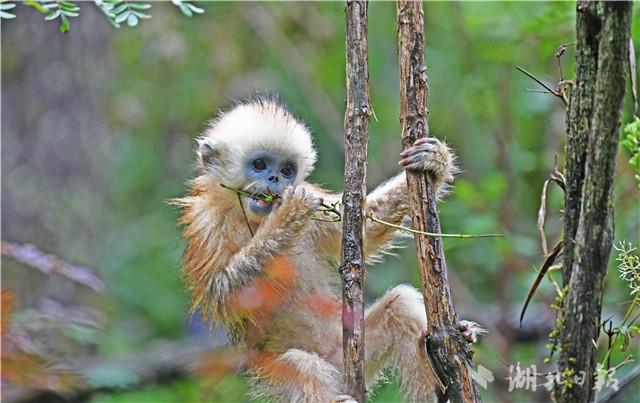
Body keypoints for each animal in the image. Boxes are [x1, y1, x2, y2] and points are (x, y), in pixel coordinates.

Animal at [175, 96, 484, 402]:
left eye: (287, 170)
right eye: (259, 164)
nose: (276, 179)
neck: (252, 218)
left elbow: (362, 230)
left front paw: (436, 161)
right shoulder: (208, 223)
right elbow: (223, 292)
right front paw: (289, 214)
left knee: (401, 306)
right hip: (279, 372)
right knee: (302, 364)